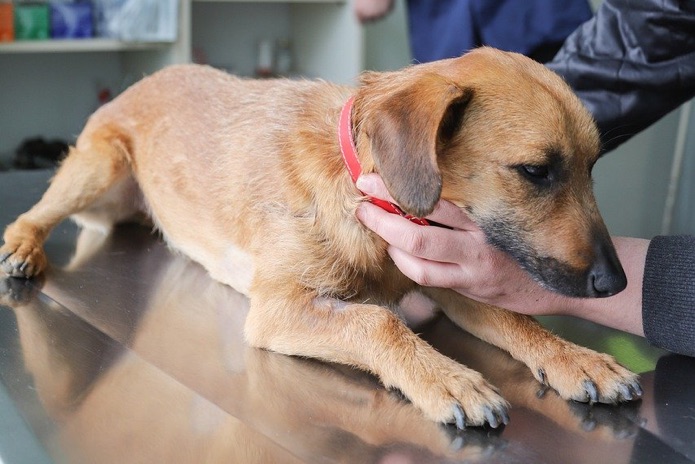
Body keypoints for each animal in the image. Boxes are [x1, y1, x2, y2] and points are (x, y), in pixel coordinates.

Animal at [0, 47, 640, 428]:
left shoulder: (446, 274)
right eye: (536, 171)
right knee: (33, 214)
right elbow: (379, 323)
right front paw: (448, 379)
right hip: (99, 165)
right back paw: (23, 248)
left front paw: (577, 359)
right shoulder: (279, 309)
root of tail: (147, 78)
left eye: (592, 167)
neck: (363, 190)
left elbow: (518, 321)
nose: (617, 283)